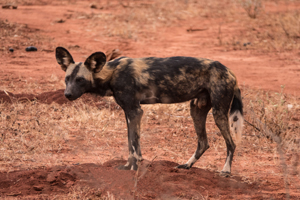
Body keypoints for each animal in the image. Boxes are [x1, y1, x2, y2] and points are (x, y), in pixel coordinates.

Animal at [55, 47, 244, 175]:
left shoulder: (135, 111)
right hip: (196, 110)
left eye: (80, 80)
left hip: (219, 113)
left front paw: (134, 167)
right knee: (203, 142)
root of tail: (229, 71)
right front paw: (129, 166)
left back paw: (226, 171)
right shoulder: (129, 112)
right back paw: (187, 165)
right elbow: (131, 142)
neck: (112, 73)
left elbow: (134, 143)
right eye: (67, 79)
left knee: (231, 143)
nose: (67, 94)